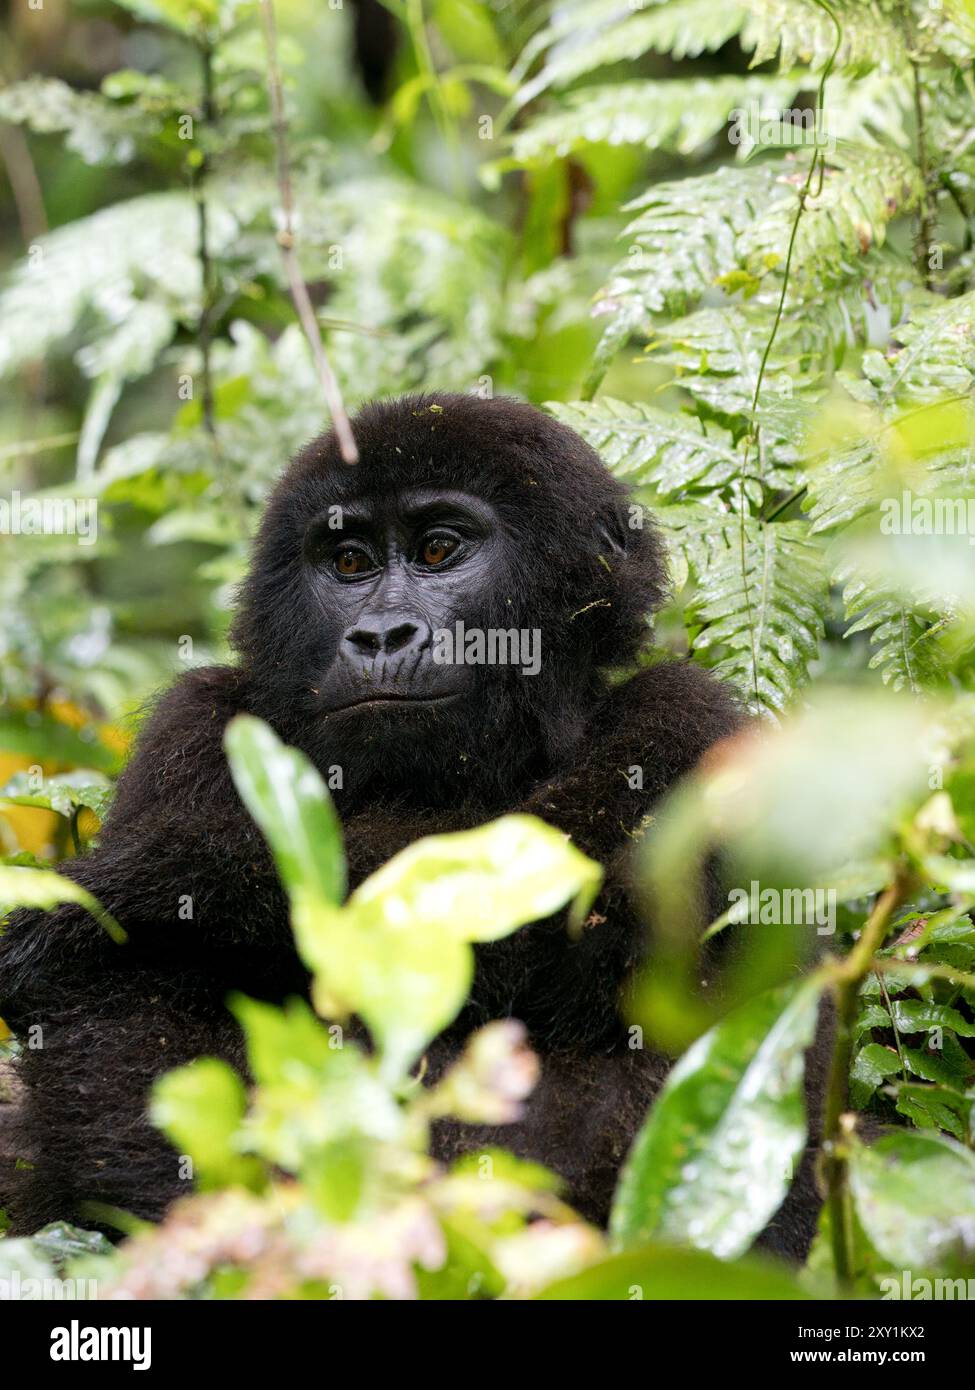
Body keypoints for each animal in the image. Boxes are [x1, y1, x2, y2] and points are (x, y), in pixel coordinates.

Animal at [0, 391, 823, 1251]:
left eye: (437, 550)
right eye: (349, 564)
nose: (379, 636)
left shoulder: (686, 726)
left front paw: (131, 899)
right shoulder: (191, 728)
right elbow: (135, 1039)